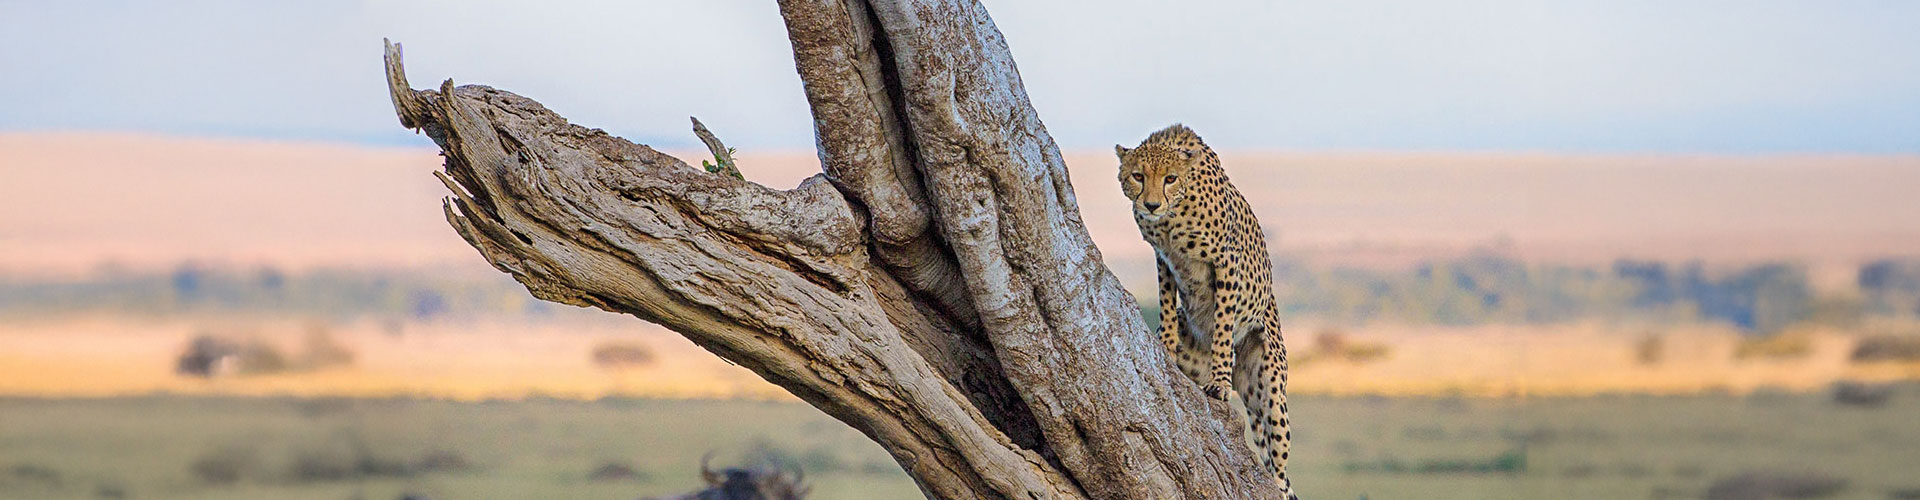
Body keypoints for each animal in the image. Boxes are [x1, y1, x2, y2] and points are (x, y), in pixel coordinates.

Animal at [1117, 124, 1296, 498]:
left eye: (1170, 178)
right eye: (1138, 176)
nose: (1151, 204)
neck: (1172, 216)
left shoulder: (1226, 262)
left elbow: (1224, 324)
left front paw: (1219, 380)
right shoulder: (1163, 258)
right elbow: (1167, 307)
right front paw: (1166, 345)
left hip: (1271, 390)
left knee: (1281, 466)